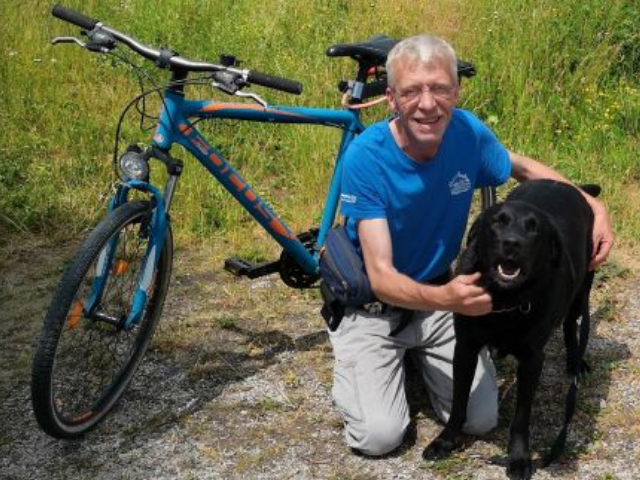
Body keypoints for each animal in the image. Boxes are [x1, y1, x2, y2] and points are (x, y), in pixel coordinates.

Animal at [422, 180, 596, 480]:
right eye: (498, 222)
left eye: (534, 228)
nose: (512, 243)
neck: (504, 300)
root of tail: (567, 185)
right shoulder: (465, 349)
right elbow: (458, 402)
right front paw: (446, 440)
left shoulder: (532, 361)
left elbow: (521, 418)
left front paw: (518, 458)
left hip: (582, 288)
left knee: (571, 324)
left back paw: (576, 363)